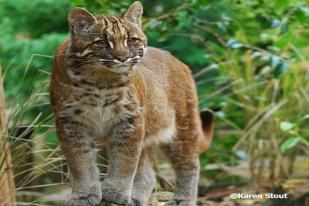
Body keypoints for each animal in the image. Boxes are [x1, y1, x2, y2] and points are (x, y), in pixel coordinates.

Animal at [50, 1, 212, 204]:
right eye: (101, 42)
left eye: (131, 40)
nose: (122, 57)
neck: (100, 81)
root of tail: (178, 61)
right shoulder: (70, 123)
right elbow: (80, 162)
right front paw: (85, 195)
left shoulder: (129, 120)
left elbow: (124, 160)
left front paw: (115, 192)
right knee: (149, 173)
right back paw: (136, 198)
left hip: (183, 128)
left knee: (189, 164)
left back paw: (183, 200)